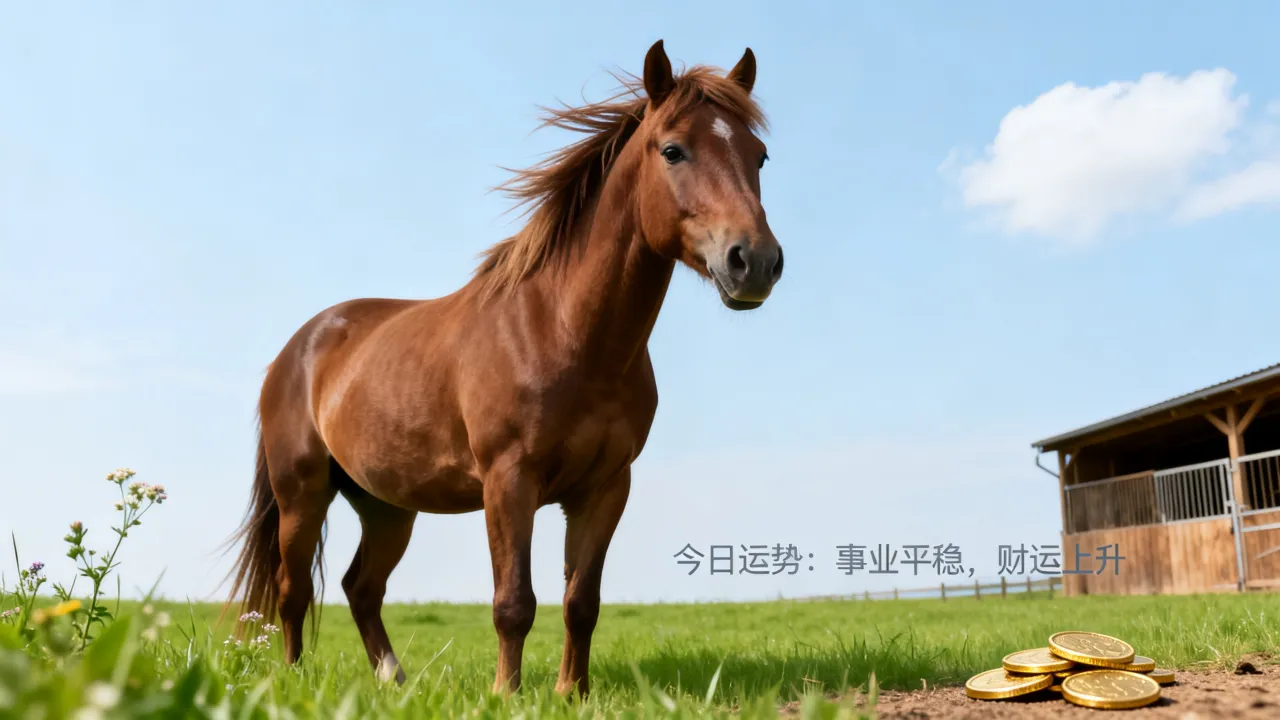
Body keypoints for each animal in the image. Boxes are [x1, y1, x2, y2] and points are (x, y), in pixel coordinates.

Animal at [223, 39, 783, 697]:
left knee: (361, 588)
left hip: (386, 505)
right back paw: (290, 682)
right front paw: (506, 694)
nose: (754, 262)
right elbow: (513, 601)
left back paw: (395, 681)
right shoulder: (508, 482)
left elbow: (581, 602)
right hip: (302, 494)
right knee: (293, 591)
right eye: (673, 150)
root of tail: (296, 349)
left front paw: (572, 694)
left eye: (759, 155)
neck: (562, 331)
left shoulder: (606, 487)